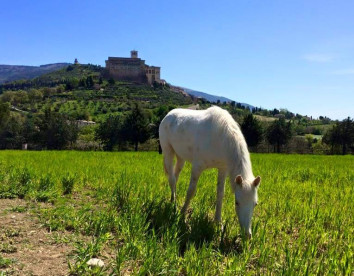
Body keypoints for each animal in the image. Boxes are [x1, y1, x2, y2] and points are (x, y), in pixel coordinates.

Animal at [160, 105, 260, 237]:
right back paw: (175, 205)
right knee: (171, 178)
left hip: (181, 157)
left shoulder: (223, 168)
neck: (221, 137)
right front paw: (182, 215)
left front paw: (218, 223)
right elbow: (191, 191)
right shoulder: (197, 166)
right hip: (168, 151)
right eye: (237, 202)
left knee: (175, 176)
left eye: (255, 204)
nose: (247, 235)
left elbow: (220, 194)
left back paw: (172, 199)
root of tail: (168, 114)